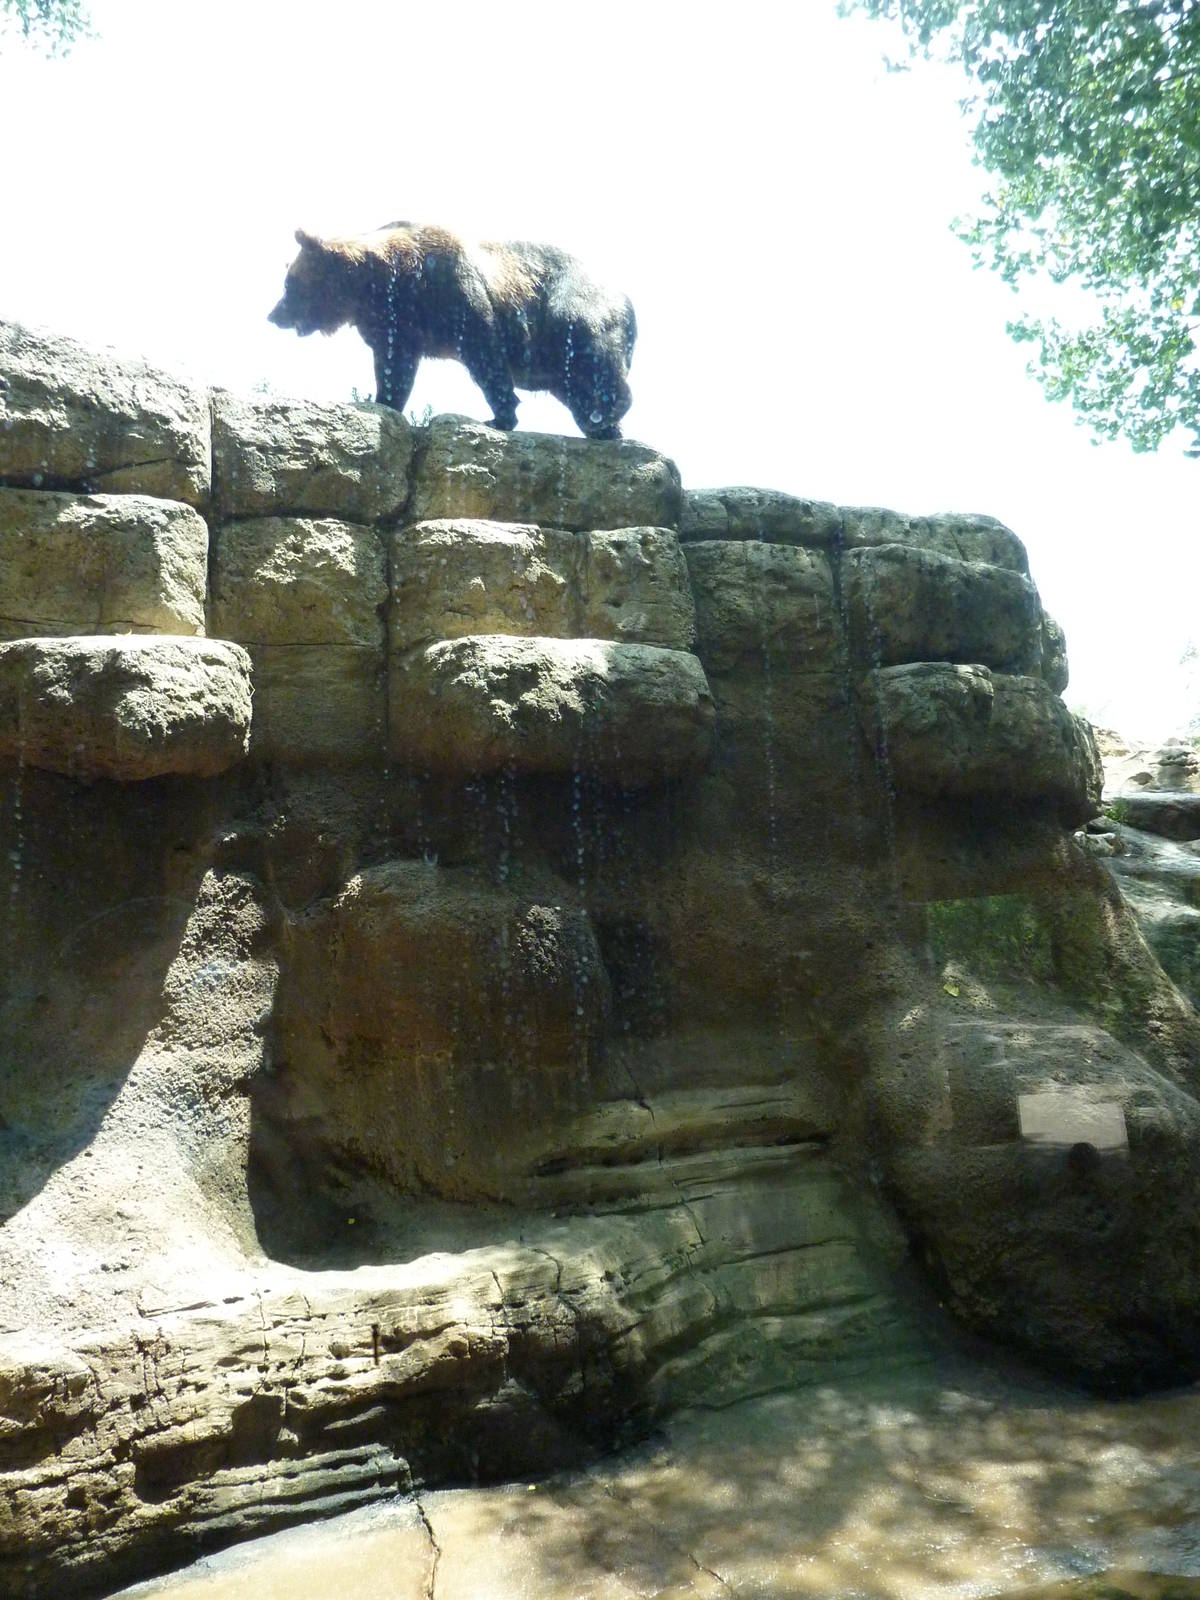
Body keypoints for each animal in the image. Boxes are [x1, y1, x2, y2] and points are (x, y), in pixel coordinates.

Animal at [268, 222, 636, 440]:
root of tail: (626, 297)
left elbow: (484, 353)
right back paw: (604, 428)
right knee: (575, 383)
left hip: (570, 311)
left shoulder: (455, 290)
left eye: (288, 283)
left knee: (595, 360)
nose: (273, 314)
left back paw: (605, 415)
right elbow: (394, 369)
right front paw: (384, 401)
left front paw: (501, 415)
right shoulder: (395, 327)